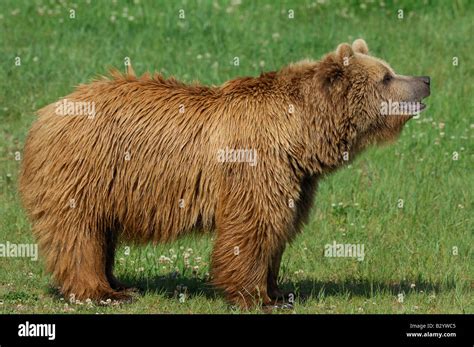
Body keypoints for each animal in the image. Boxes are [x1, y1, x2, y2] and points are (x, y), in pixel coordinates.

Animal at [19, 40, 430, 310]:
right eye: (386, 76)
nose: (425, 79)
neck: (301, 135)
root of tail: (48, 111)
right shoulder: (256, 163)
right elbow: (254, 225)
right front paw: (256, 296)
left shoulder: (296, 178)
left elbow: (280, 225)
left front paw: (279, 291)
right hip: (87, 170)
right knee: (81, 234)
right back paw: (102, 292)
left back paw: (118, 283)